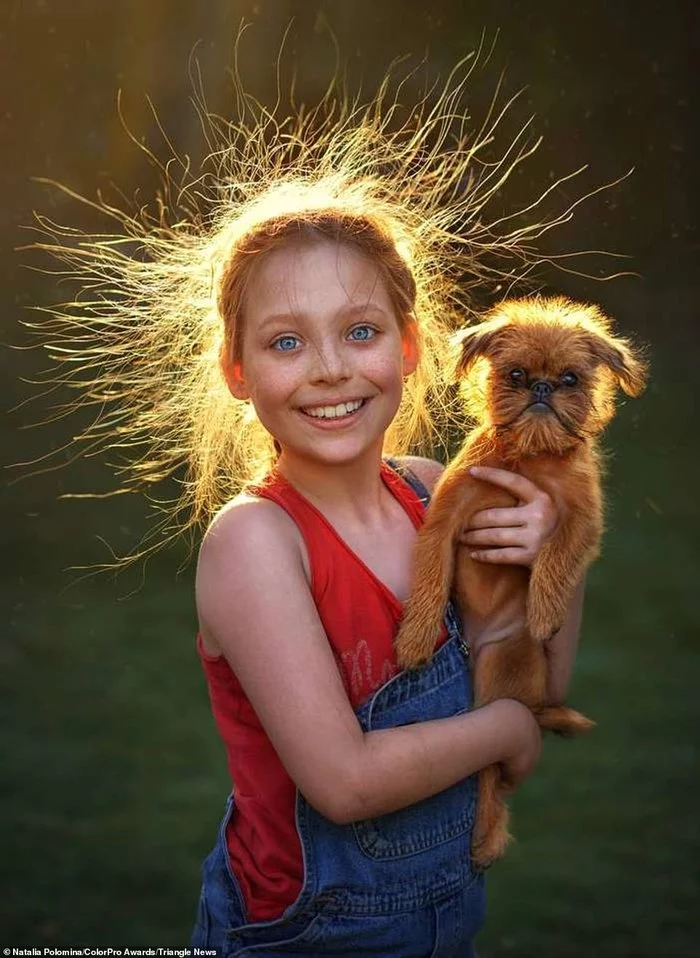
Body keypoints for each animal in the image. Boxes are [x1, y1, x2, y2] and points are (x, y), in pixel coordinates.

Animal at [396, 294, 648, 872]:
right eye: (515, 374)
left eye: (571, 378)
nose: (542, 387)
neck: (531, 458)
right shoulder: (445, 520)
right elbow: (429, 577)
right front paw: (416, 639)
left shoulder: (580, 520)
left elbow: (555, 554)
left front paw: (547, 613)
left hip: (500, 669)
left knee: (492, 775)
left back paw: (486, 839)